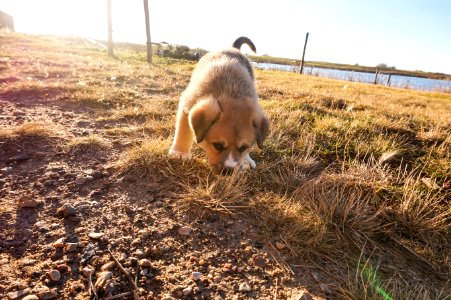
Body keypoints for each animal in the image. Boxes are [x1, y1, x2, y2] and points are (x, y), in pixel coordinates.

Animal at [169, 37, 268, 173]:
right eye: (218, 145)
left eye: (242, 148)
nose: (228, 171)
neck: (230, 92)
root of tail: (232, 48)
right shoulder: (187, 104)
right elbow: (183, 130)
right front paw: (179, 153)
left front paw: (244, 160)